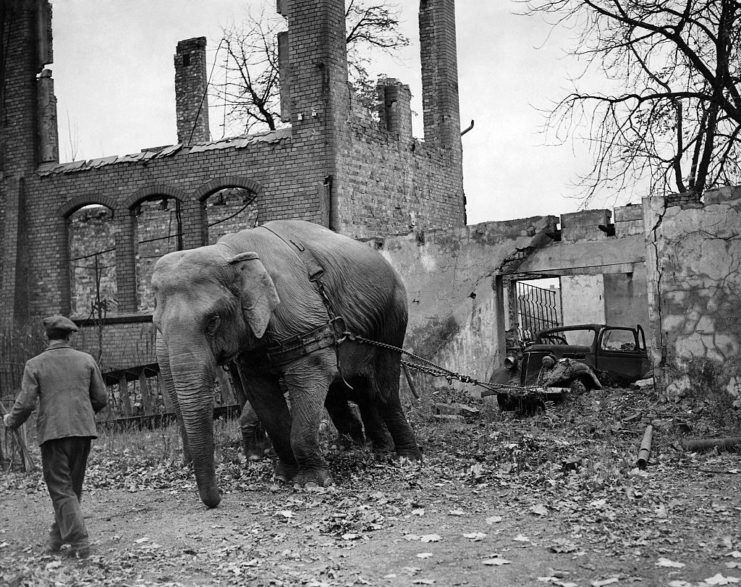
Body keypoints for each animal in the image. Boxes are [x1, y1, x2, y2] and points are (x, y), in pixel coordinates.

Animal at [153, 218, 420, 508]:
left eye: (212, 321)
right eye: (157, 324)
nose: (215, 501)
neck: (230, 251)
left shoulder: (304, 322)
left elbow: (309, 373)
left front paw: (312, 483)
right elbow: (262, 394)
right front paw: (285, 477)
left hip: (393, 318)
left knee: (384, 388)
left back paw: (405, 458)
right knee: (357, 390)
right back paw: (367, 449)